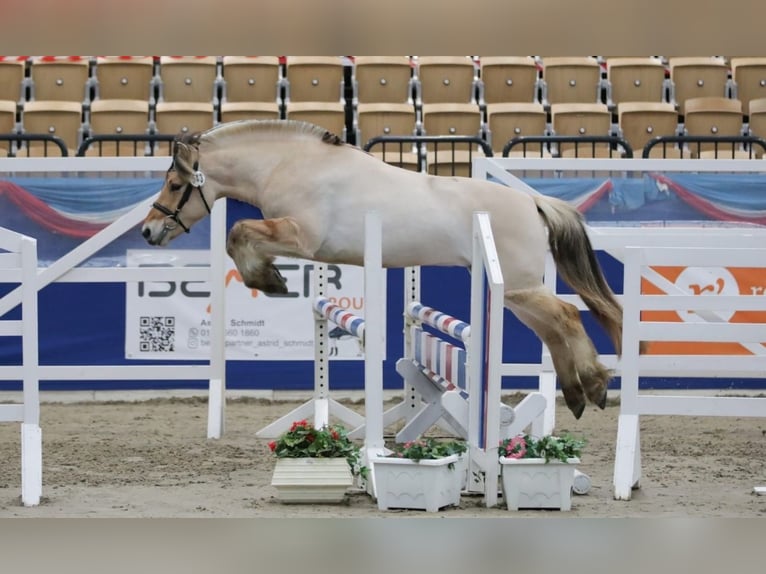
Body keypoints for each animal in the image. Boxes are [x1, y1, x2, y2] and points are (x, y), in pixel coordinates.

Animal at [142, 120, 624, 418]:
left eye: (176, 185)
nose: (149, 231)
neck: (292, 164)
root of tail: (534, 201)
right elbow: (238, 236)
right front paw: (269, 276)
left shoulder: (300, 236)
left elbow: (238, 232)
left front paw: (269, 279)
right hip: (512, 291)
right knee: (555, 328)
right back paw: (579, 393)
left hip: (519, 286)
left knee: (567, 316)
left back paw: (596, 385)